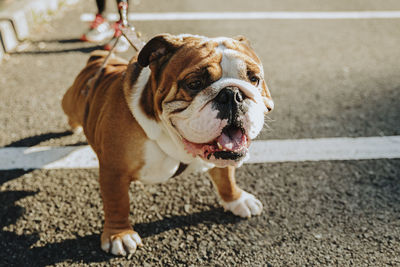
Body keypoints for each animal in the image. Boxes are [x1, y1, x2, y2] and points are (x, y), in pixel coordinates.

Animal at [61, 34, 272, 258]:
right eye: (194, 83)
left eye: (254, 79)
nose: (232, 94)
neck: (172, 139)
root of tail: (98, 60)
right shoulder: (114, 170)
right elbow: (117, 202)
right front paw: (119, 235)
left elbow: (226, 178)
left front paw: (237, 200)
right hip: (70, 103)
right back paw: (74, 126)